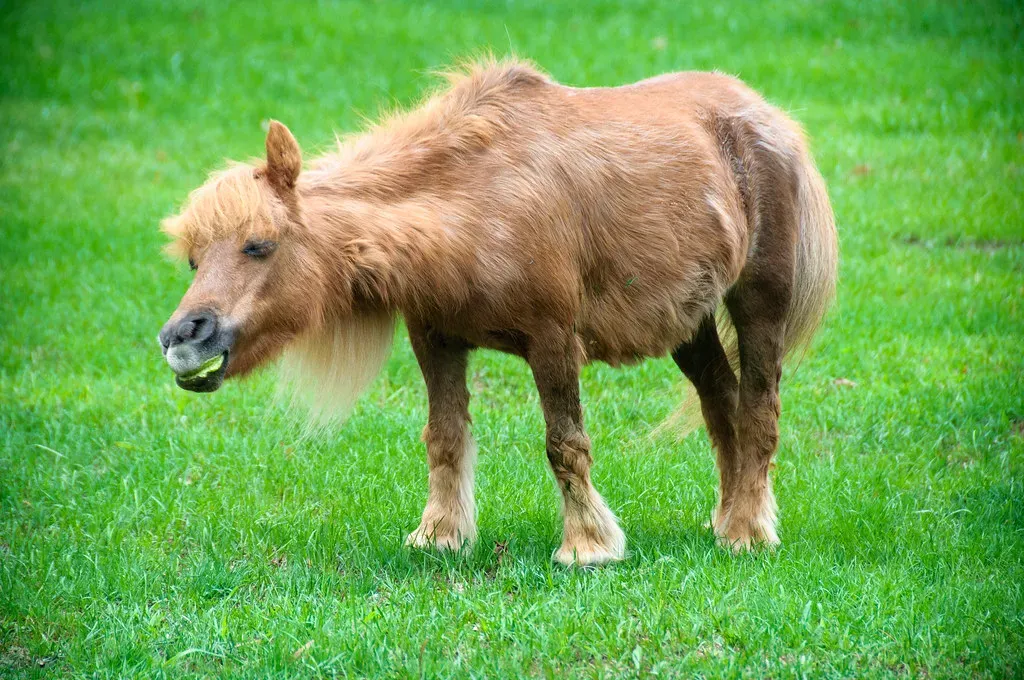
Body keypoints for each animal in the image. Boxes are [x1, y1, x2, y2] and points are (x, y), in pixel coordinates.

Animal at [158, 59, 837, 566]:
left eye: (259, 245)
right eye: (192, 258)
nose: (180, 337)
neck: (478, 201)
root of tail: (768, 117)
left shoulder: (553, 340)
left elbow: (565, 444)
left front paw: (587, 546)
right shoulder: (435, 340)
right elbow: (444, 438)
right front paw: (440, 535)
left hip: (759, 302)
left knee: (758, 410)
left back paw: (748, 532)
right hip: (688, 321)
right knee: (722, 403)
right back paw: (728, 517)